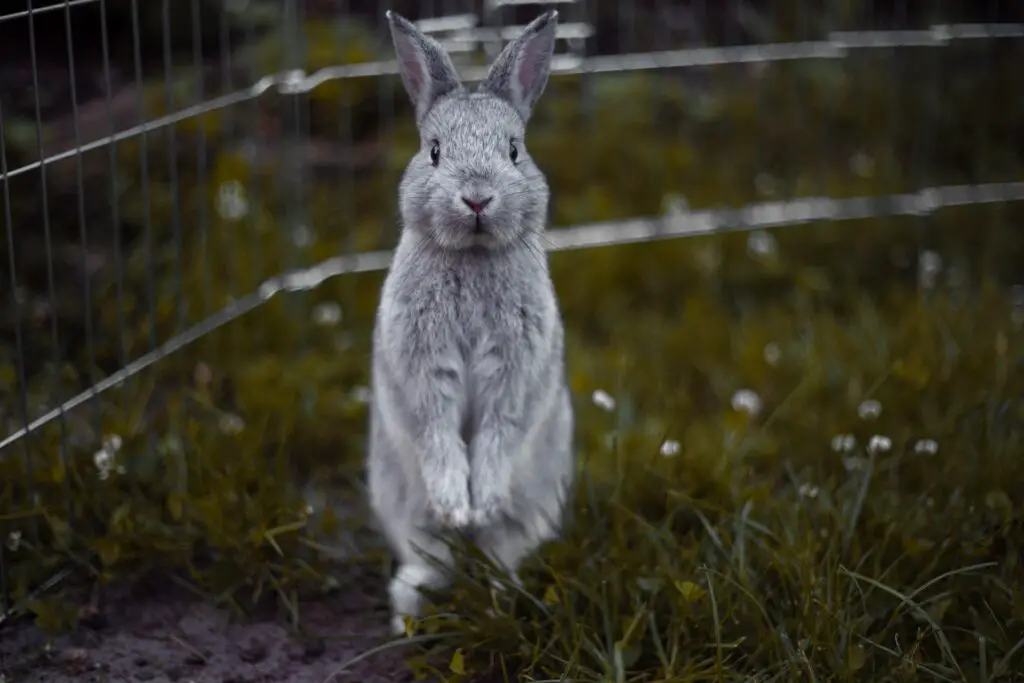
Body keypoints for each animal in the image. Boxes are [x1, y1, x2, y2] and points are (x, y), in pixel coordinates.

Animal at [368, 7, 577, 634]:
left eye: (513, 150)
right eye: (434, 151)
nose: (478, 199)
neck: (472, 256)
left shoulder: (514, 369)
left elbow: (500, 428)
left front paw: (480, 500)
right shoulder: (422, 367)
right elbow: (436, 426)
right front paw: (457, 505)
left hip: (532, 507)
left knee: (499, 554)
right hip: (402, 506)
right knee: (432, 557)